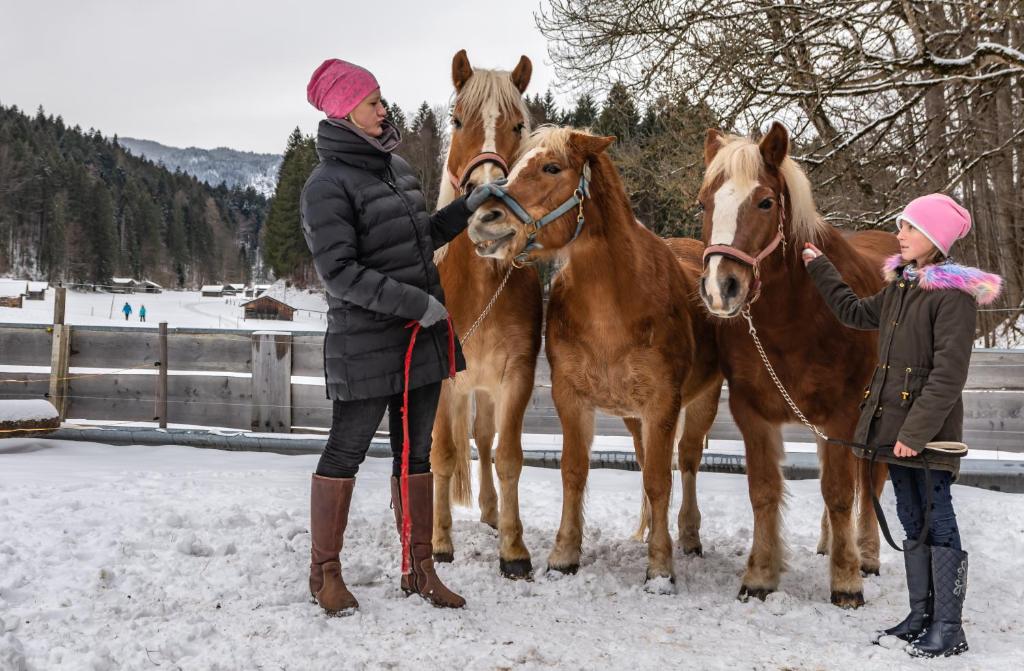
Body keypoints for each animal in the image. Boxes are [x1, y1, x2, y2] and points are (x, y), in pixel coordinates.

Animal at [466, 126, 720, 590]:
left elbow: (661, 480)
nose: (483, 220)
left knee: (689, 461)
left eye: (551, 167)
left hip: (702, 402)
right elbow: (574, 471)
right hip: (634, 419)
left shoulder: (663, 404)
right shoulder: (572, 398)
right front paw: (564, 554)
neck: (614, 306)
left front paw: (660, 567)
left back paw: (689, 536)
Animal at [696, 121, 897, 610]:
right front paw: (760, 576)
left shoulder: (844, 414)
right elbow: (764, 492)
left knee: (871, 481)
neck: (795, 317)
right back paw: (830, 543)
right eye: (704, 203)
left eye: (766, 202)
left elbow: (841, 493)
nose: (721, 288)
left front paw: (847, 582)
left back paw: (865, 554)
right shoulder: (752, 413)